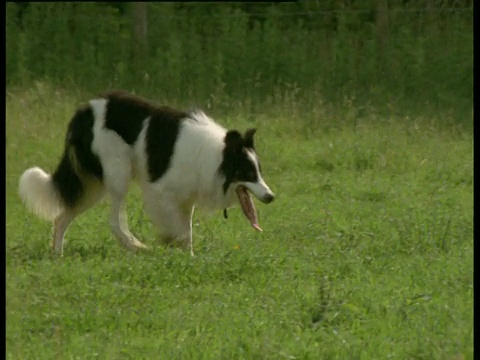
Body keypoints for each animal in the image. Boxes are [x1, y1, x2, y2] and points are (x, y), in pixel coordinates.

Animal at [18, 91, 276, 258]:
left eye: (259, 172)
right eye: (248, 173)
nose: (271, 197)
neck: (215, 157)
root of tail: (85, 111)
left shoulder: (185, 199)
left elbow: (188, 230)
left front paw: (188, 257)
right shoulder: (160, 192)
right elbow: (178, 230)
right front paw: (170, 245)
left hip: (93, 185)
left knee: (62, 217)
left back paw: (58, 254)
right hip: (117, 173)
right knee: (114, 221)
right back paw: (137, 247)